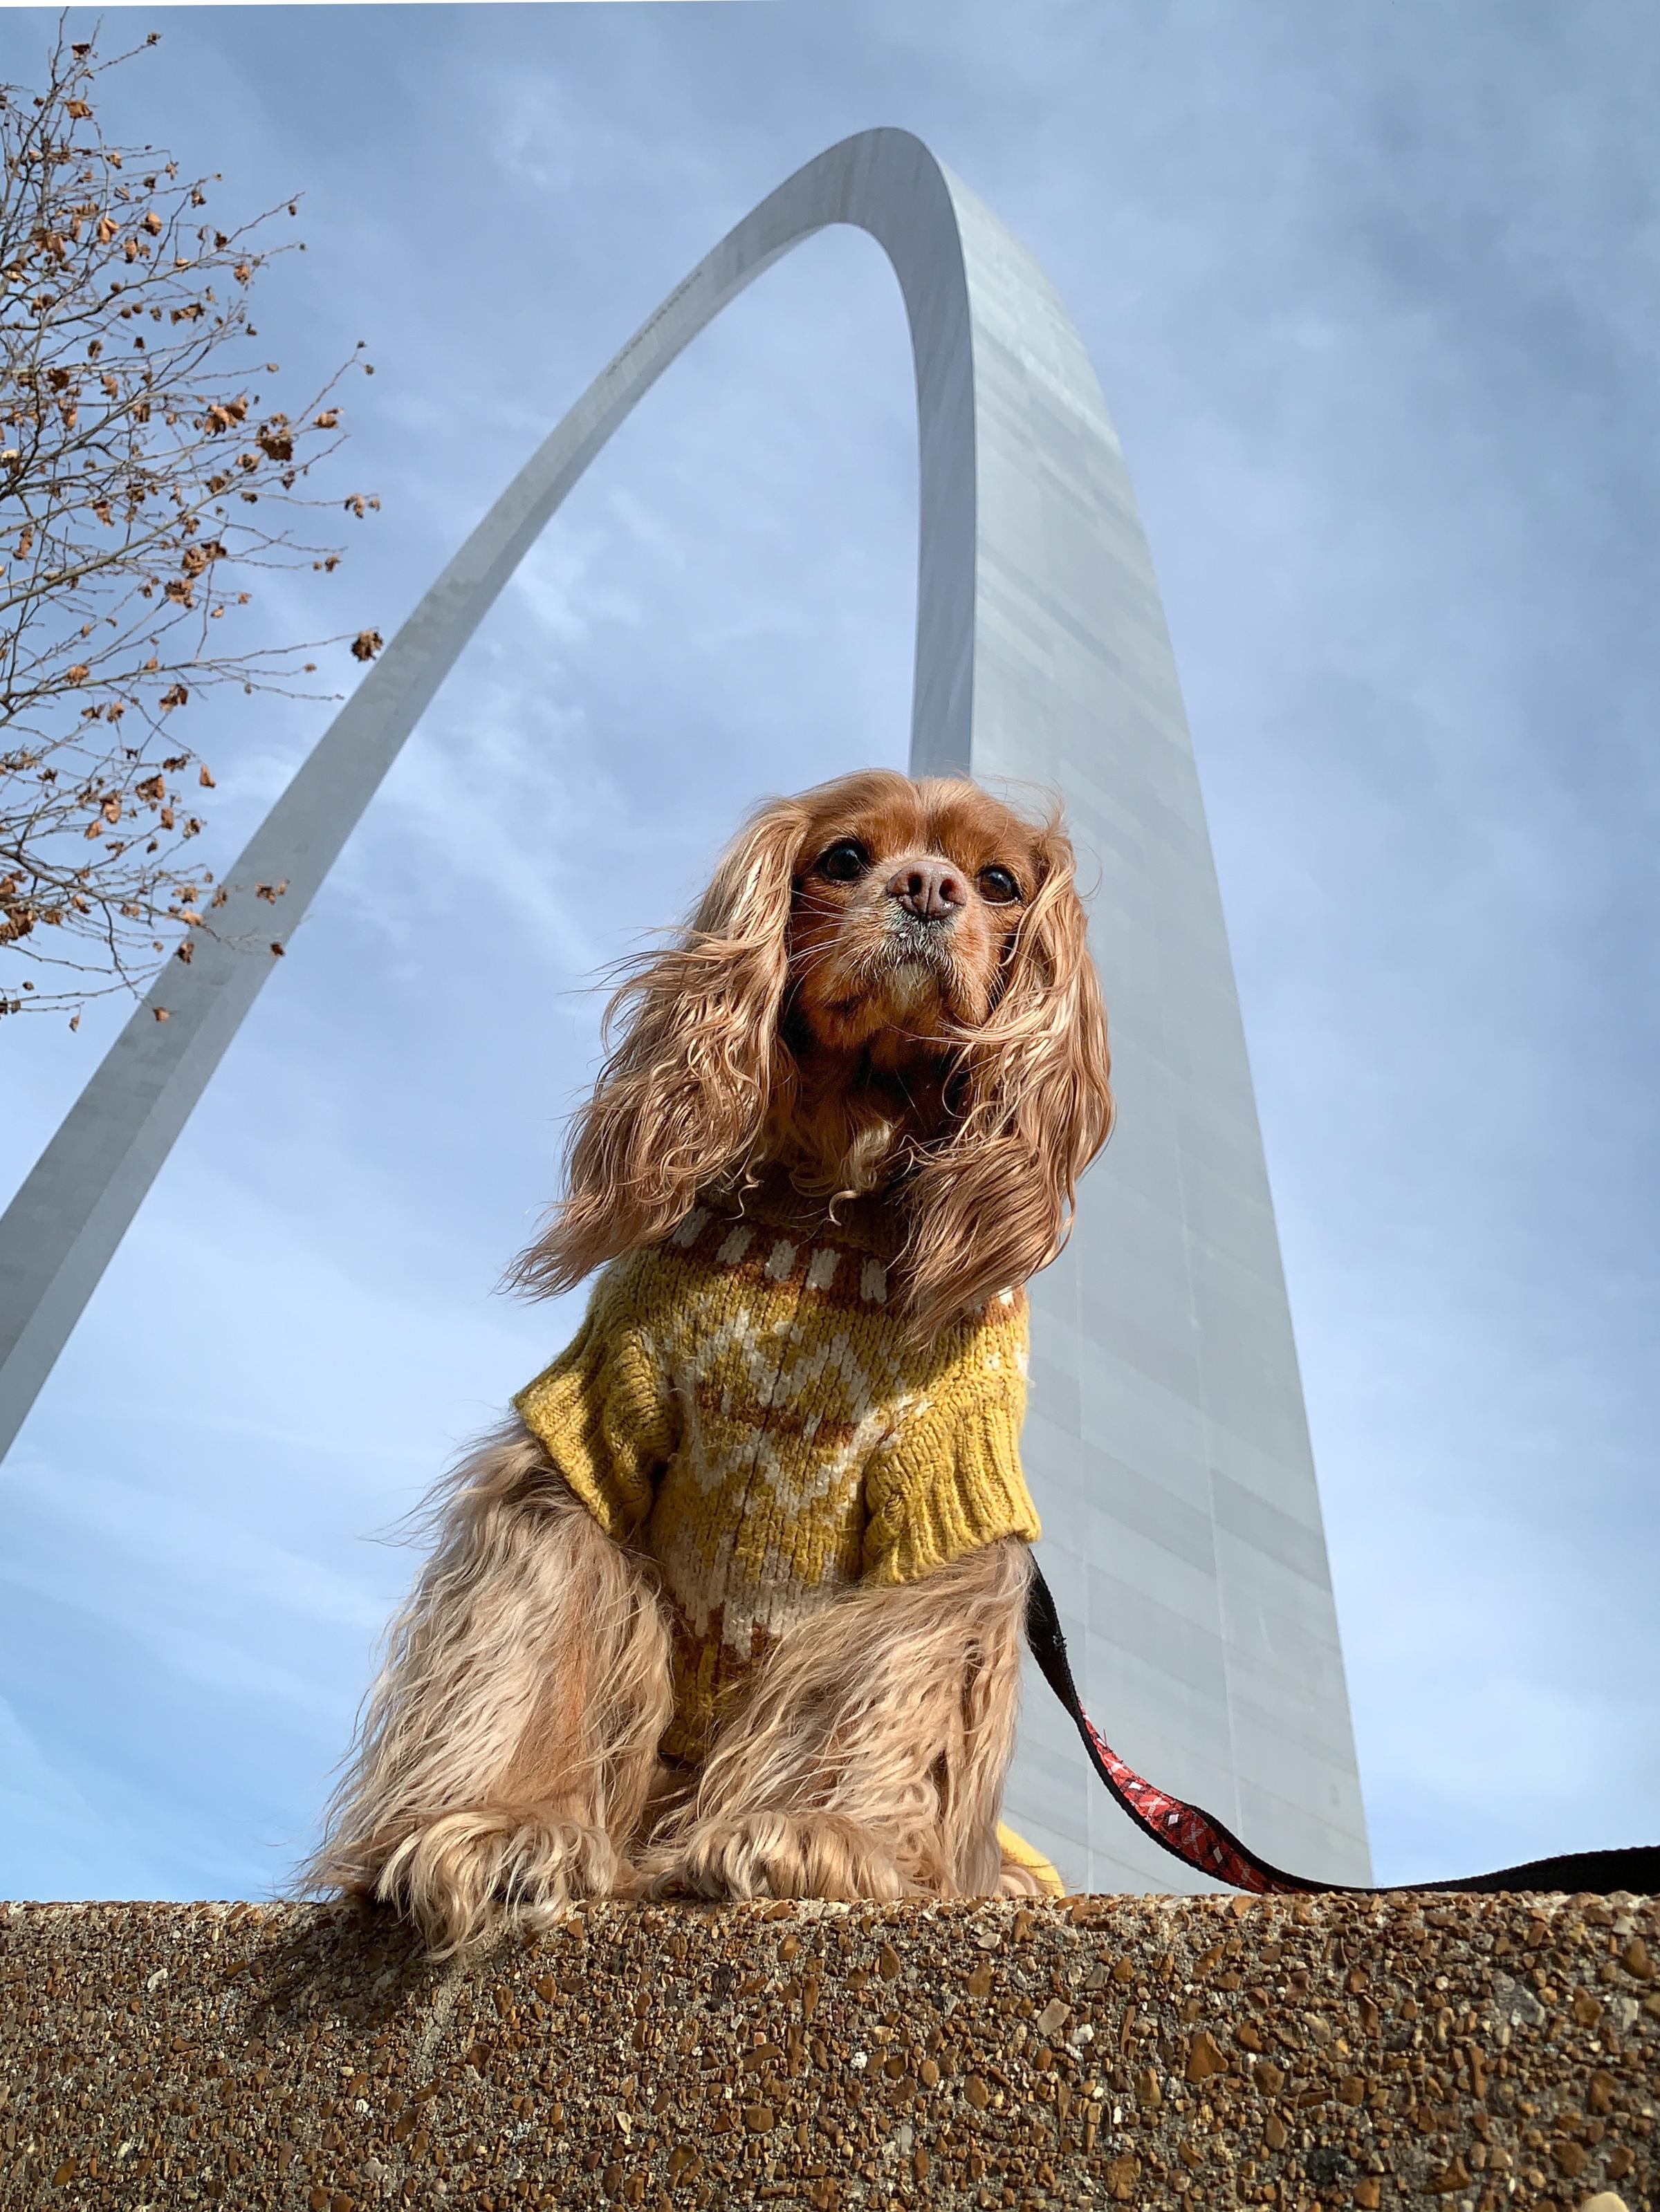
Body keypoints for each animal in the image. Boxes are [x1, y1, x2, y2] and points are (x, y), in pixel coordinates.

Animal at [312, 765, 1120, 1955]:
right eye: (844, 856)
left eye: (1000, 880)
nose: (927, 887)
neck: (827, 1197)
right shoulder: (586, 1448)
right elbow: (544, 1641)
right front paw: (506, 1825)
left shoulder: (945, 1504)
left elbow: (889, 1683)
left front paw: (829, 1837)